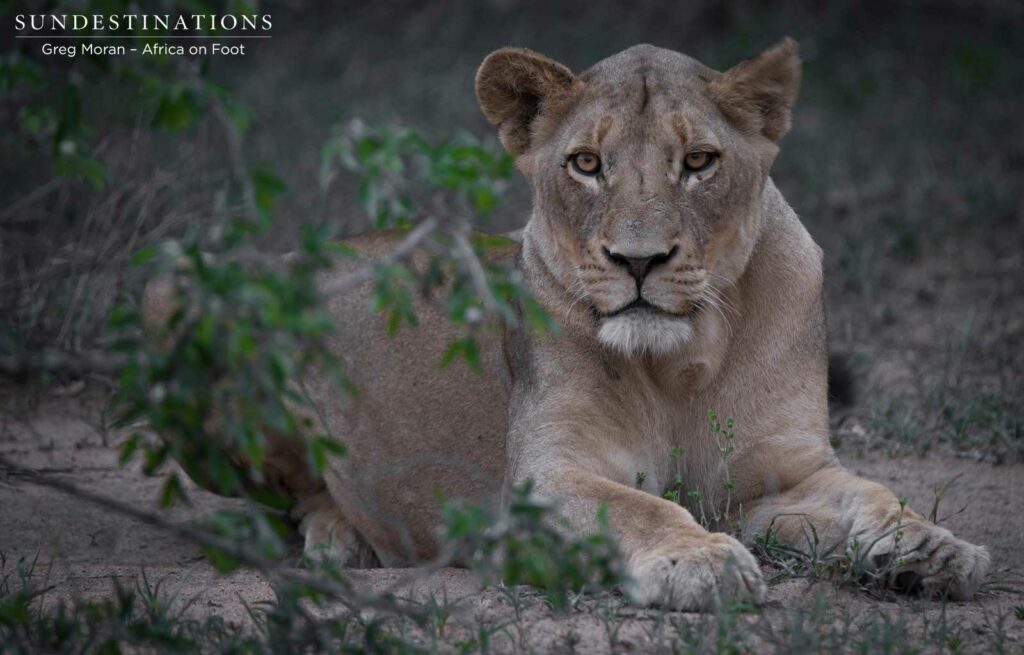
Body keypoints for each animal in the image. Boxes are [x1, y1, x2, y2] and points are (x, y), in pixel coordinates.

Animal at [150, 39, 991, 610]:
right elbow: (642, 505)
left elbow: (871, 492)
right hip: (174, 289)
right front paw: (702, 562)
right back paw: (340, 533)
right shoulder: (536, 485)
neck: (685, 361)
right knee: (282, 498)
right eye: (587, 163)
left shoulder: (780, 477)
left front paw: (932, 547)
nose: (639, 260)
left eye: (699, 161)